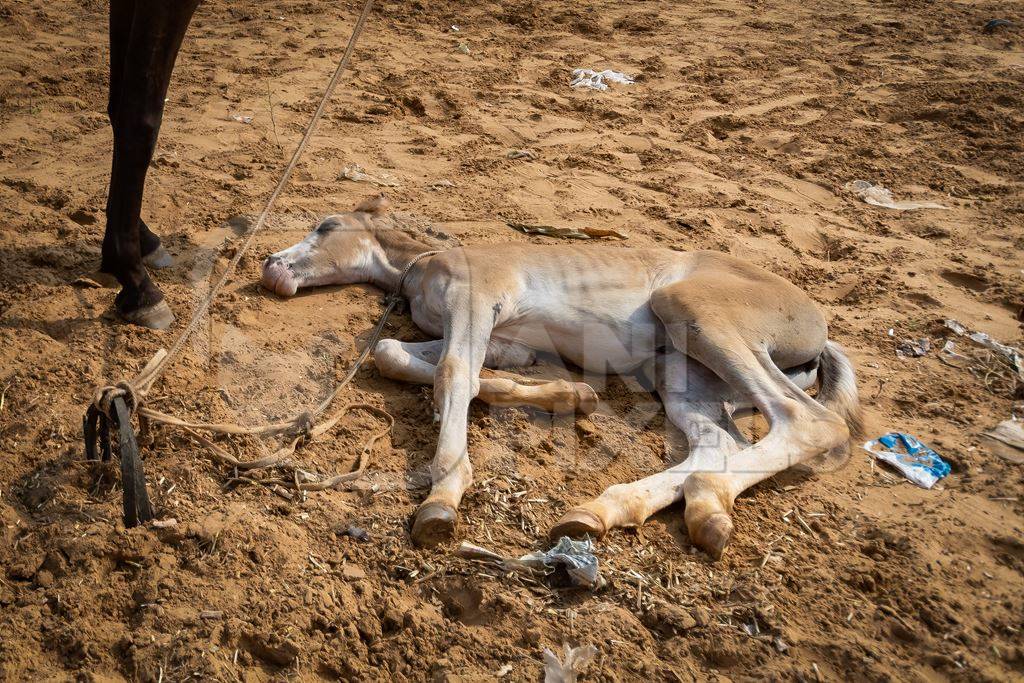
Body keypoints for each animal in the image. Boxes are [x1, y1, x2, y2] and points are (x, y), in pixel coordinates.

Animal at [260, 194, 860, 557]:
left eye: (326, 226)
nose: (269, 263)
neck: (418, 267)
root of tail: (818, 328)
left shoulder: (475, 301)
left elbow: (454, 374)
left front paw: (442, 498)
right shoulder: (507, 342)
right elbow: (396, 354)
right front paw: (570, 394)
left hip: (695, 312)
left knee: (810, 423)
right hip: (682, 370)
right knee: (718, 444)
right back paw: (625, 510)